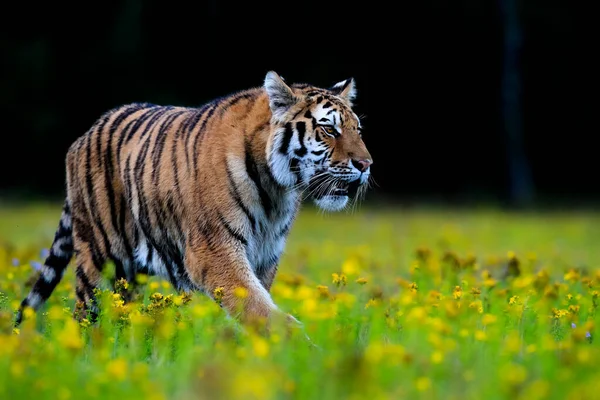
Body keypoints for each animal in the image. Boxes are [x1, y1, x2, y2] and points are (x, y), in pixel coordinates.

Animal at [14, 71, 372, 328]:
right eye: (329, 129)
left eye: (357, 130)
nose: (367, 165)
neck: (276, 189)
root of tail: (84, 135)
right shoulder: (216, 251)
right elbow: (257, 306)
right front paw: (297, 346)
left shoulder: (266, 255)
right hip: (99, 260)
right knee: (85, 313)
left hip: (128, 276)